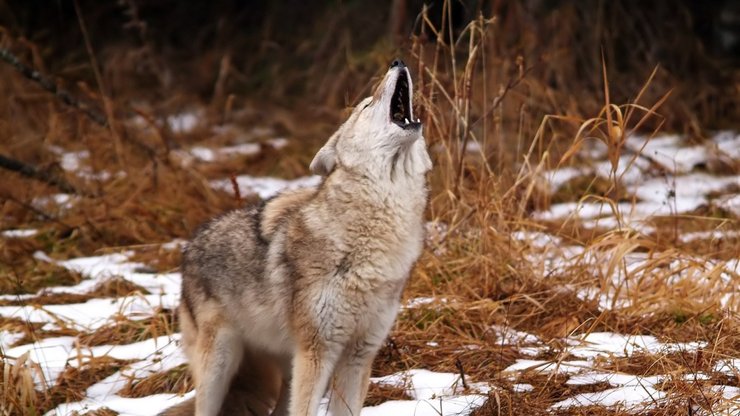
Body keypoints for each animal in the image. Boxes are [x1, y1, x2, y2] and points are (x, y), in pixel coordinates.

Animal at [159, 59, 430, 416]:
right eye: (366, 105)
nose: (397, 62)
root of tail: (190, 244)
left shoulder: (359, 355)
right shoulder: (316, 352)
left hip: (282, 365)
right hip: (220, 366)